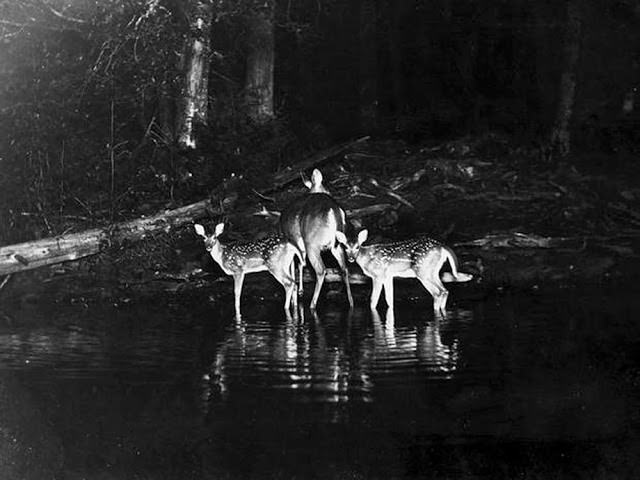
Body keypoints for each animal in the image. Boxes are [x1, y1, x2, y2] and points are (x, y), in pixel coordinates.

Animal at [278, 169, 352, 312]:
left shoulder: (291, 241)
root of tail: (332, 210)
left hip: (312, 244)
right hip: (337, 245)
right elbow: (300, 264)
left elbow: (294, 266)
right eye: (327, 189)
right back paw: (351, 303)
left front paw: (295, 296)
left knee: (321, 270)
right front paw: (299, 292)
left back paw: (312, 305)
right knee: (344, 269)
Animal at [338, 230, 472, 316]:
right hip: (433, 271)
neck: (366, 258)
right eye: (345, 247)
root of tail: (443, 247)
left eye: (357, 246)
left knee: (438, 292)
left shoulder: (378, 275)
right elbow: (389, 299)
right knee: (444, 291)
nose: (351, 258)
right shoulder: (388, 276)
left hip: (423, 271)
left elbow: (373, 300)